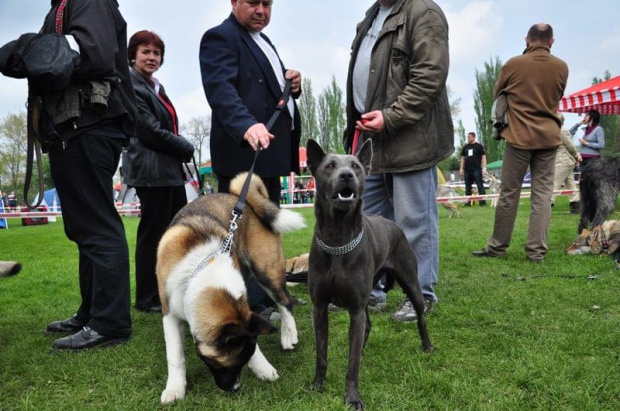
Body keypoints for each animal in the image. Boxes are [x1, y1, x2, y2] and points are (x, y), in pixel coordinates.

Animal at [157, 173, 306, 406]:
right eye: (218, 365)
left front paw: (262, 367)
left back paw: (288, 335)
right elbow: (175, 356)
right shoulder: (169, 313)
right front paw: (174, 388)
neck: (200, 267)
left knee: (285, 301)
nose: (234, 389)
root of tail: (245, 201)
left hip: (266, 270)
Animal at [306, 140, 432, 410]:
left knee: (420, 316)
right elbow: (321, 354)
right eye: (329, 166)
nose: (346, 176)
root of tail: (394, 225)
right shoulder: (320, 308)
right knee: (368, 325)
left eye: (356, 166)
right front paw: (317, 384)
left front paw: (352, 397)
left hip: (411, 282)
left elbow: (352, 365)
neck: (337, 238)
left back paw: (427, 345)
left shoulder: (355, 310)